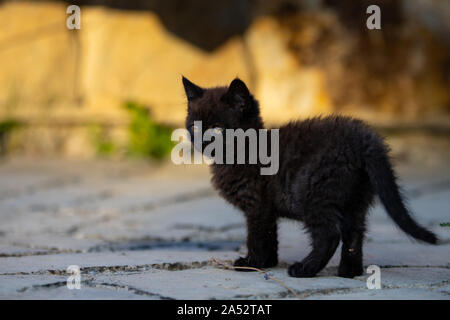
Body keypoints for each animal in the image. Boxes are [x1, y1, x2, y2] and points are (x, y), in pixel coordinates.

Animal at [181, 76, 438, 276]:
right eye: (194, 126)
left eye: (218, 129)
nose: (200, 141)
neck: (243, 151)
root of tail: (363, 139)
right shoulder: (267, 208)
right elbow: (270, 234)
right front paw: (268, 263)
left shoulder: (256, 205)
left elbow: (257, 235)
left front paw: (251, 263)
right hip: (356, 197)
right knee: (355, 232)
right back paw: (349, 272)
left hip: (313, 191)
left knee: (329, 234)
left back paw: (305, 269)